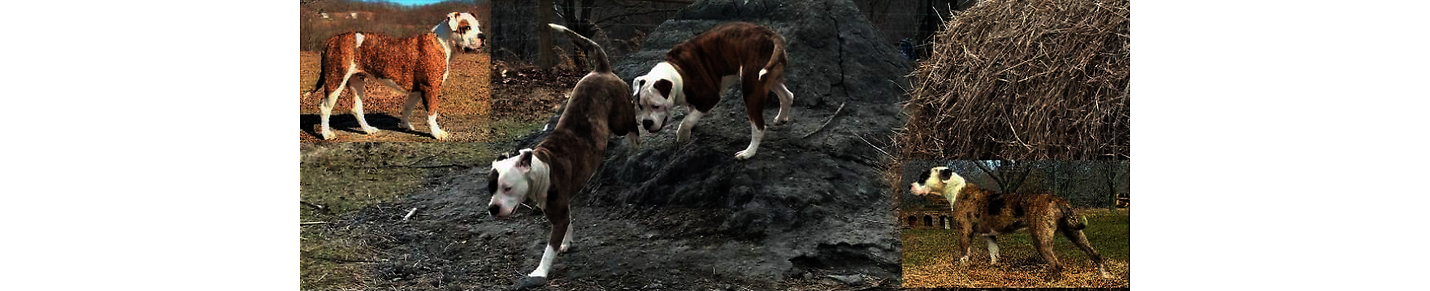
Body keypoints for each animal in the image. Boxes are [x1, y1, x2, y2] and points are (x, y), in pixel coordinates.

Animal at [303, 11, 486, 138]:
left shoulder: (417, 90)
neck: (442, 42)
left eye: (478, 27)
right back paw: (326, 135)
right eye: (466, 27)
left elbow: (407, 108)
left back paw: (368, 130)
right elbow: (432, 113)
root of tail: (333, 39)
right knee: (325, 108)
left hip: (356, 81)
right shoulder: (430, 88)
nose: (482, 36)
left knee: (356, 108)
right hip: (336, 79)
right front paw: (437, 133)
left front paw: (405, 126)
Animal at [486, 23, 637, 288]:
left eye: (507, 188)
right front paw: (567, 242)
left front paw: (540, 272)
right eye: (490, 188)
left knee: (632, 118)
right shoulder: (563, 208)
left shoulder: (557, 215)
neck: (541, 167)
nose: (492, 209)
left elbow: (549, 249)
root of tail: (601, 69)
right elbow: (569, 223)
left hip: (620, 118)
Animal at [634, 21, 800, 160]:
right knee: (787, 96)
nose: (646, 123)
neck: (678, 72)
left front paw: (683, 135)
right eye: (640, 106)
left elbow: (686, 120)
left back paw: (748, 153)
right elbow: (691, 114)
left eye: (656, 106)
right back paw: (781, 118)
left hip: (751, 88)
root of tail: (771, 35)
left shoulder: (710, 97)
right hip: (768, 78)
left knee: (759, 126)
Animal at [909, 166, 1109, 276]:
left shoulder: (964, 231)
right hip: (1075, 233)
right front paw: (994, 267)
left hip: (1041, 239)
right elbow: (994, 253)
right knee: (1095, 254)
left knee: (1057, 265)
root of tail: (1057, 198)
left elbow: (964, 253)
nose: (910, 186)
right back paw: (1106, 276)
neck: (955, 189)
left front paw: (962, 269)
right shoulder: (990, 236)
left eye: (923, 178)